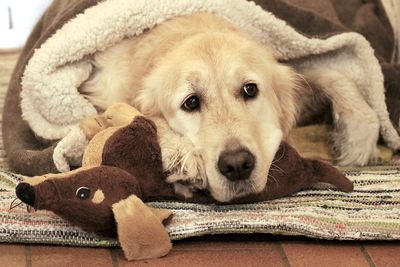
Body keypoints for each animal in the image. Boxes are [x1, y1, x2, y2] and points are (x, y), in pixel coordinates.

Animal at [80, 12, 378, 201]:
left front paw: (357, 138)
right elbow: (140, 115)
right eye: (191, 102)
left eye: (250, 89)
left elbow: (328, 74)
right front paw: (180, 154)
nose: (237, 165)